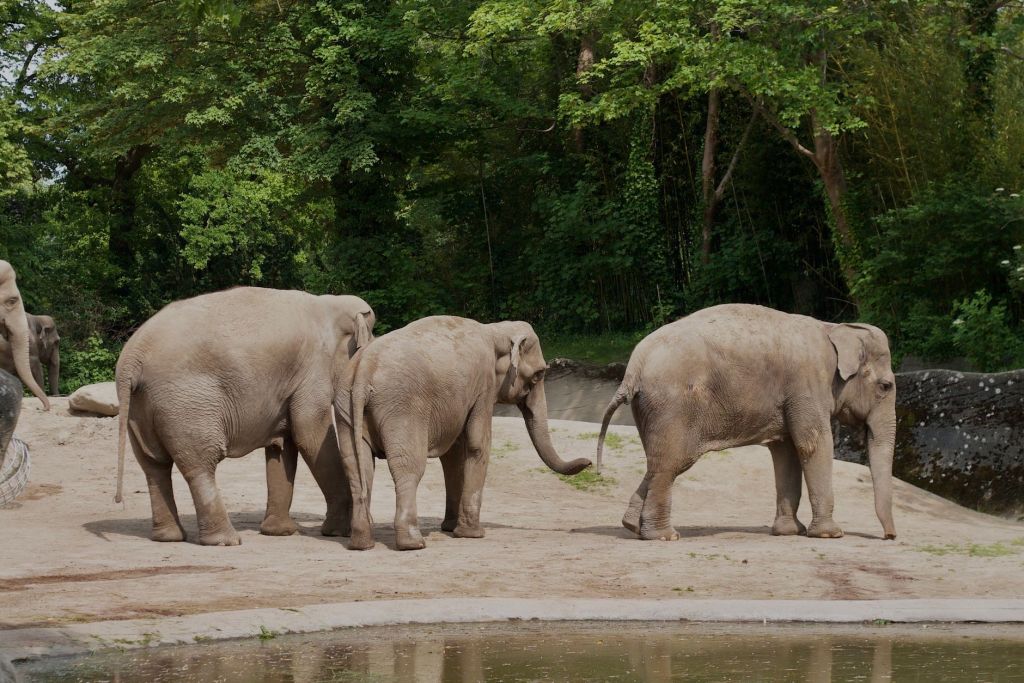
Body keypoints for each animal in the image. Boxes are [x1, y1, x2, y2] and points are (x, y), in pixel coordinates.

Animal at [114, 287, 375, 546]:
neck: (329, 303)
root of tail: (132, 358)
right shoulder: (314, 368)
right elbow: (310, 434)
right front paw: (338, 532)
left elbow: (283, 445)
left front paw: (279, 532)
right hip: (185, 403)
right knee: (199, 464)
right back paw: (225, 541)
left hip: (141, 406)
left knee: (154, 464)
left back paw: (168, 537)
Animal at [337, 315, 591, 551]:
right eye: (538, 375)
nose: (589, 462)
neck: (495, 330)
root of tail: (363, 371)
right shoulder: (484, 387)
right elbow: (477, 444)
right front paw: (473, 534)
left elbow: (454, 454)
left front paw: (451, 528)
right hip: (402, 408)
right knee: (409, 468)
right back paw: (413, 543)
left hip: (345, 408)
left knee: (357, 468)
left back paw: (361, 543)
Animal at [597, 303, 896, 542]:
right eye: (885, 386)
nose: (889, 537)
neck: (834, 328)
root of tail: (632, 369)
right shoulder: (807, 385)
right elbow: (813, 443)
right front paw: (830, 534)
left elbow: (786, 451)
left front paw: (789, 532)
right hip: (671, 407)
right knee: (671, 464)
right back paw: (665, 536)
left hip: (649, 409)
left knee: (659, 463)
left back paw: (632, 526)